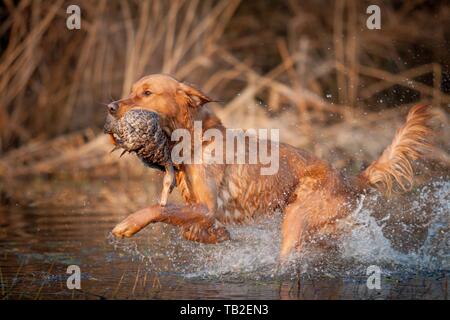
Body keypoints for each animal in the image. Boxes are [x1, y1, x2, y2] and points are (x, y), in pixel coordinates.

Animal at [105, 74, 432, 262]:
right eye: (132, 90)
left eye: (147, 93)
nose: (110, 107)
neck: (197, 138)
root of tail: (350, 178)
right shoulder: (200, 210)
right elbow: (190, 229)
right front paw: (218, 236)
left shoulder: (207, 207)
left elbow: (160, 210)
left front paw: (129, 223)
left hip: (296, 217)